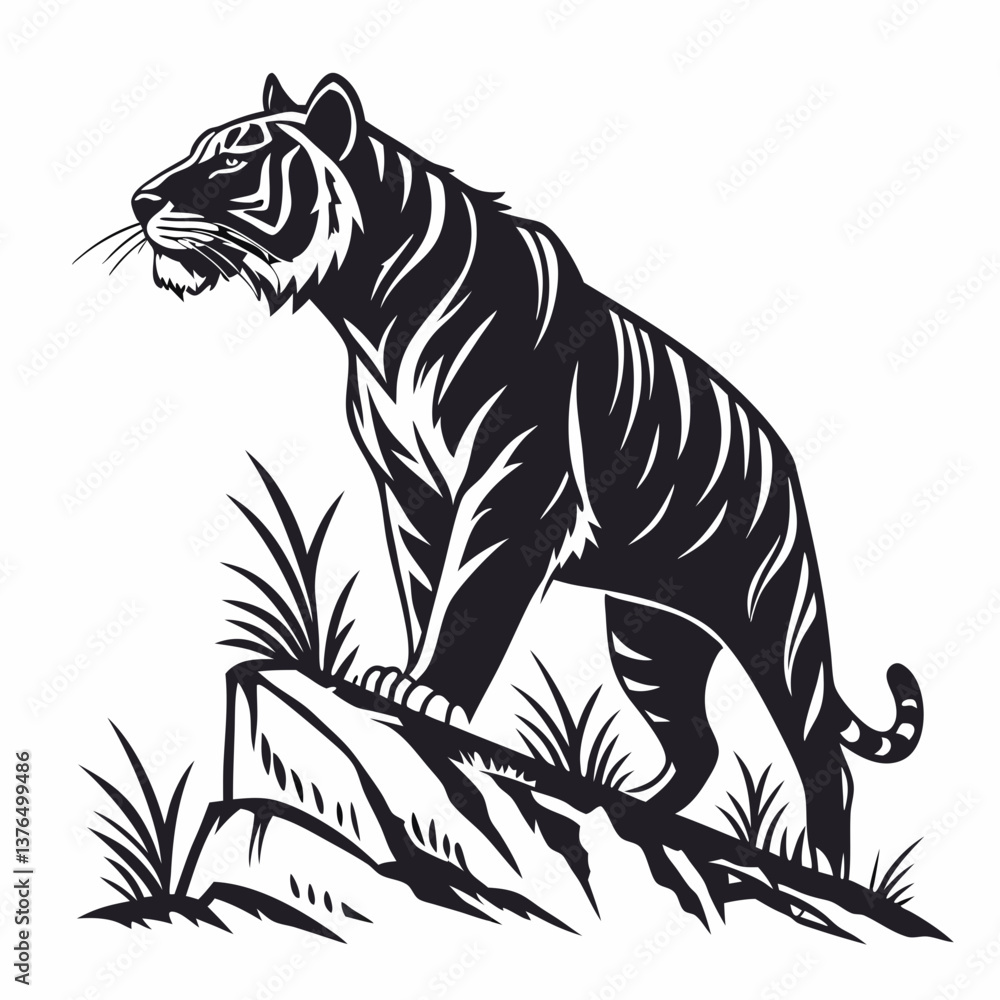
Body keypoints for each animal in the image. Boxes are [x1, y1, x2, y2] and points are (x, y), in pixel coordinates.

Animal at [120, 72, 923, 880]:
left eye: (233, 161)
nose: (141, 200)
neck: (371, 315)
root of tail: (785, 458)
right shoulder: (414, 495)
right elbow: (427, 593)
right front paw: (400, 681)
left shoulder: (515, 485)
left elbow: (472, 597)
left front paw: (425, 694)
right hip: (649, 635)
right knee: (697, 747)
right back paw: (634, 805)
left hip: (772, 621)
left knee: (822, 757)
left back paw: (823, 868)